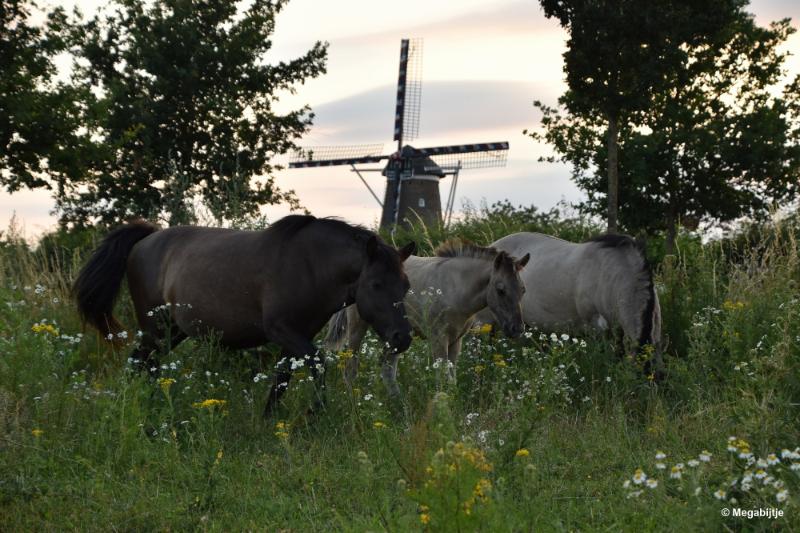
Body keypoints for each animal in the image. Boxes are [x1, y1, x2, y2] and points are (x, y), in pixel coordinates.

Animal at [73, 214, 418, 414]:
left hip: (172, 331)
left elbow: (282, 377)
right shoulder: (282, 330)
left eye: (406, 284)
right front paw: (315, 413)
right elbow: (317, 363)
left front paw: (270, 418)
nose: (402, 338)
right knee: (140, 363)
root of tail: (146, 238)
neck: (310, 264)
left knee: (146, 364)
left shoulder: (298, 335)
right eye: (375, 284)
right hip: (155, 327)